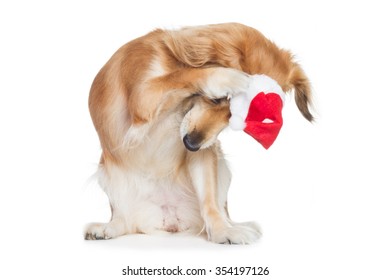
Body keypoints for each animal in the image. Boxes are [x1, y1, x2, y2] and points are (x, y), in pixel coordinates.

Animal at [84, 23, 312, 244]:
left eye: (234, 120)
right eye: (216, 99)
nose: (191, 144)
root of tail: (169, 218)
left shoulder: (203, 151)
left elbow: (209, 201)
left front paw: (223, 231)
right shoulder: (142, 97)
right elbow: (180, 76)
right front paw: (225, 77)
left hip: (220, 169)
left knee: (215, 208)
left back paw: (227, 229)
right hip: (109, 179)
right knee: (125, 220)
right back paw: (105, 228)